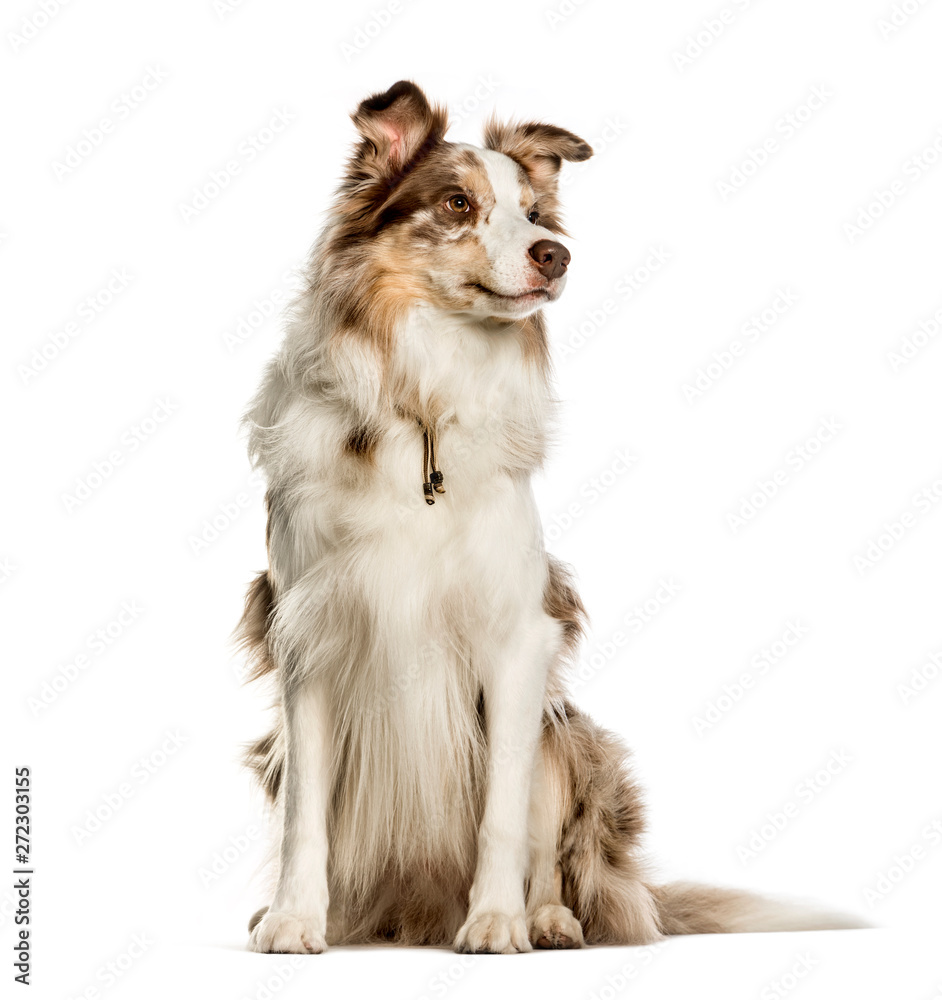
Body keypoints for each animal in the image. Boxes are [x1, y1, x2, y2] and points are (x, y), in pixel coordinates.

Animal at [238, 80, 864, 952]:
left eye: (535, 212)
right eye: (458, 204)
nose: (555, 254)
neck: (424, 403)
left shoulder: (516, 639)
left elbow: (503, 814)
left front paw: (498, 920)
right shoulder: (309, 636)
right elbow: (306, 812)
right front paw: (294, 920)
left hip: (567, 737)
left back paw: (548, 917)